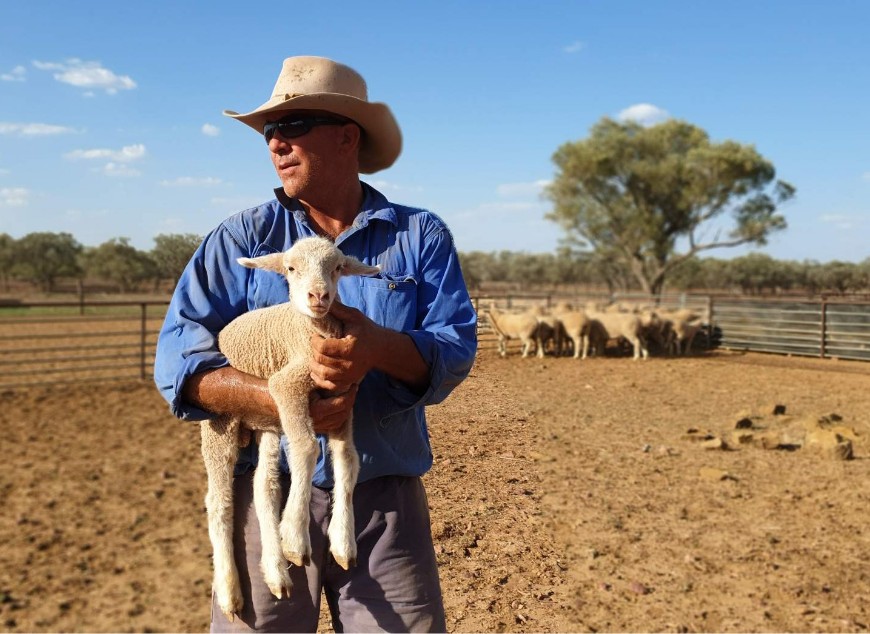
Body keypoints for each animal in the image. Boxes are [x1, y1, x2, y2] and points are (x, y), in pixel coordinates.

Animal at [206, 236, 384, 616]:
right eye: (290, 268)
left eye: (338, 268)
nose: (319, 296)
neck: (310, 330)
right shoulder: (287, 385)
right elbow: (306, 448)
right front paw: (296, 537)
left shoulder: (343, 400)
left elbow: (348, 460)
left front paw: (343, 542)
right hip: (219, 420)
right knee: (219, 500)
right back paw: (230, 591)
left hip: (268, 424)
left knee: (265, 486)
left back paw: (276, 572)